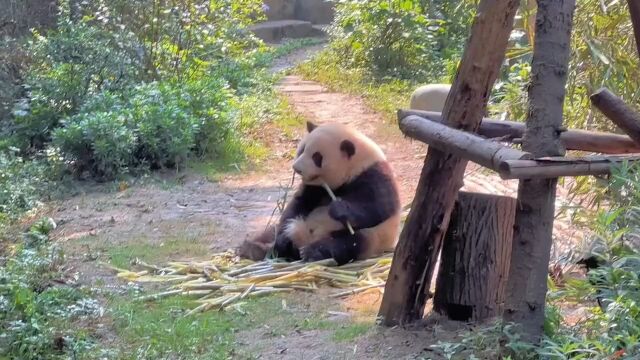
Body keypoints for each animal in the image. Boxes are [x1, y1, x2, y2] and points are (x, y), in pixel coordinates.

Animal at [238, 121, 402, 264]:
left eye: (317, 157)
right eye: (302, 149)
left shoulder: (374, 175)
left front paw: (339, 209)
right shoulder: (314, 187)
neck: (355, 166)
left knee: (349, 244)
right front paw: (283, 239)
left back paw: (311, 252)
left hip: (372, 237)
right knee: (271, 232)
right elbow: (297, 205)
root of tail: (303, 239)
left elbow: (377, 208)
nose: (297, 168)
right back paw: (258, 247)